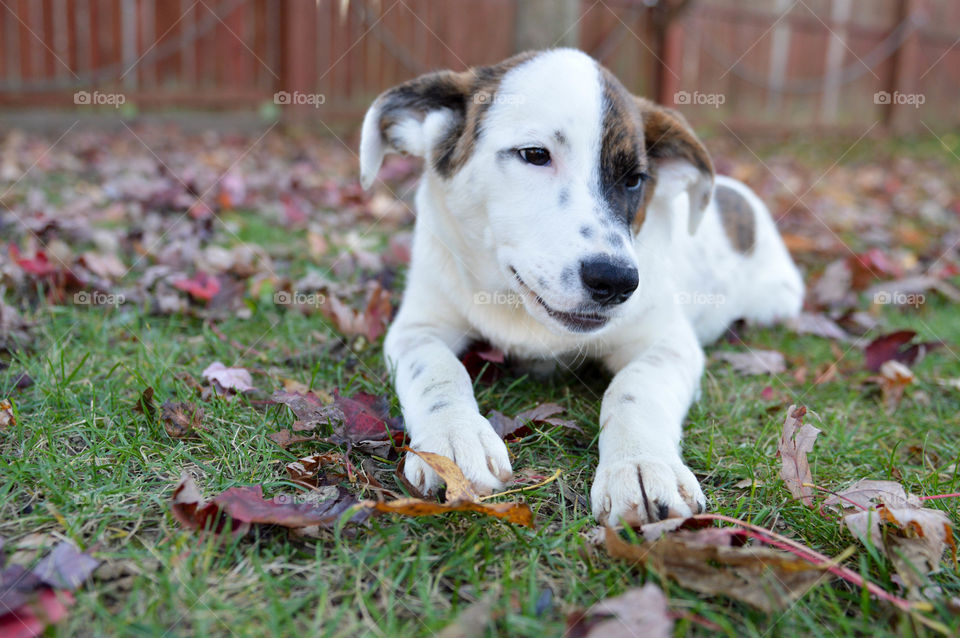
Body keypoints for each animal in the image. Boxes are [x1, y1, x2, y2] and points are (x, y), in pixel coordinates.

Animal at [358, 50, 804, 528]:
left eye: (634, 179)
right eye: (535, 155)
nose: (616, 281)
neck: (516, 306)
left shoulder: (667, 342)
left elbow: (635, 385)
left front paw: (641, 464)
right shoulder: (417, 325)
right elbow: (437, 368)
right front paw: (453, 440)